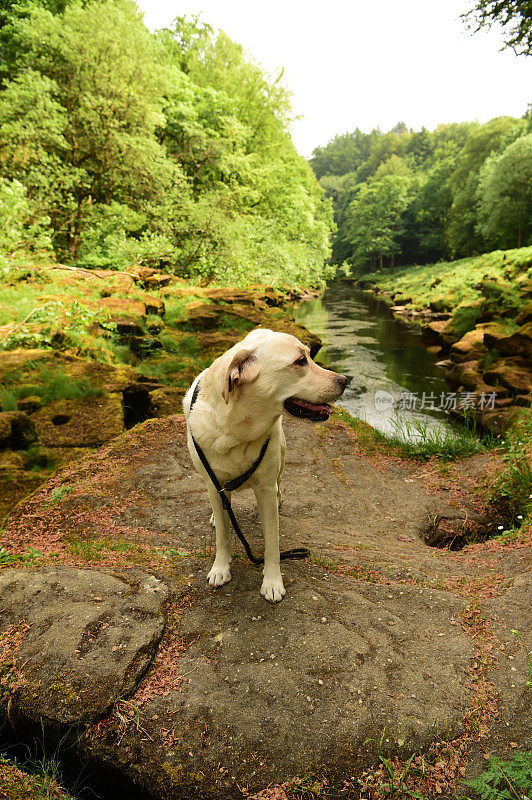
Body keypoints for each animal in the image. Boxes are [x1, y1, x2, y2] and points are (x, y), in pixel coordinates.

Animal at [185, 328, 348, 604]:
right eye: (300, 361)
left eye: (309, 356)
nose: (344, 380)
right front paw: (220, 567)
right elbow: (223, 536)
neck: (237, 431)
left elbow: (272, 542)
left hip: (280, 454)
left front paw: (272, 581)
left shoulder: (266, 489)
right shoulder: (213, 481)